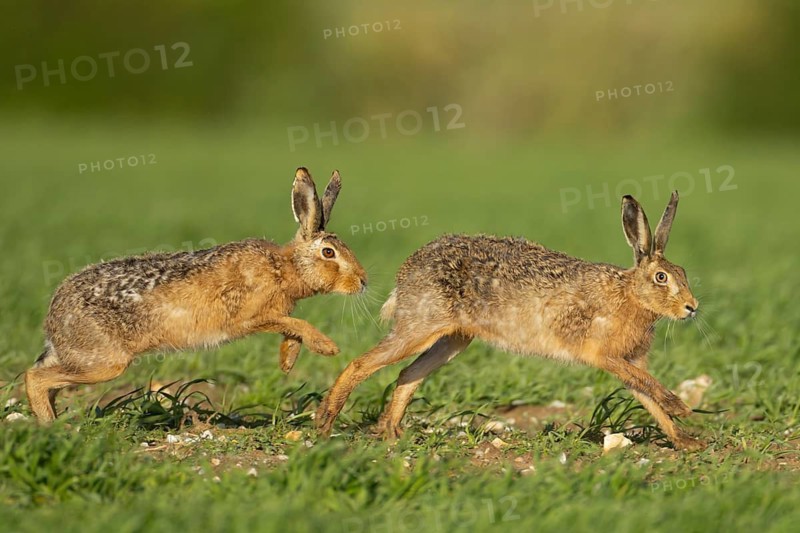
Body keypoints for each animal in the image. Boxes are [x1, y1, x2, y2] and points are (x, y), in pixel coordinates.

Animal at [26, 167, 367, 421]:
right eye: (328, 252)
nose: (363, 281)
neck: (286, 268)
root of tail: (53, 320)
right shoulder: (251, 317)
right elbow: (295, 324)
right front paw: (327, 347)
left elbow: (292, 329)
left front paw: (287, 362)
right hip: (105, 363)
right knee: (34, 378)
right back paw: (52, 427)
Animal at [316, 191, 705, 451]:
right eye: (661, 278)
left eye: (684, 273)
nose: (692, 307)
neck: (630, 295)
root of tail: (406, 270)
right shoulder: (605, 355)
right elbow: (652, 387)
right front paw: (684, 409)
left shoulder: (628, 362)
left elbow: (648, 397)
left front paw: (686, 441)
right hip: (419, 328)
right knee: (361, 364)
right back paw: (325, 423)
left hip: (453, 340)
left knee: (408, 374)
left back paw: (392, 432)